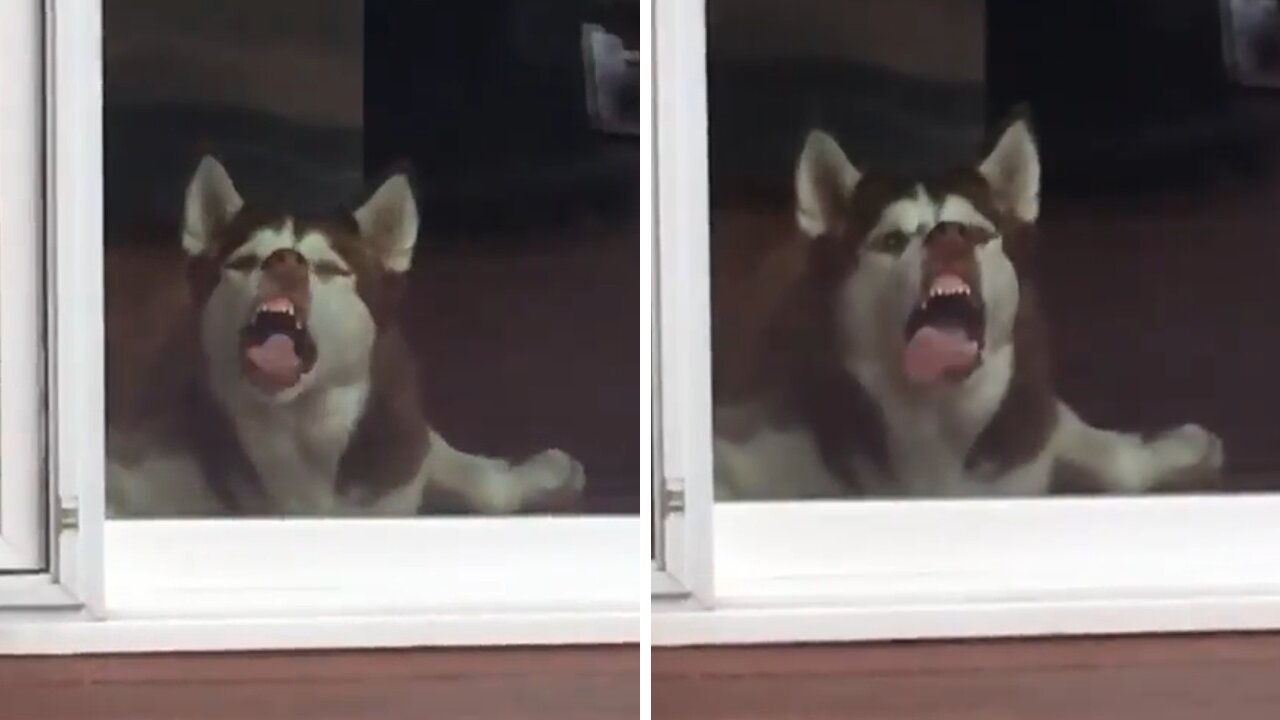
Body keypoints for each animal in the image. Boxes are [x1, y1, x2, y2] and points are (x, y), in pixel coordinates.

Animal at [107, 156, 586, 515]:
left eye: (329, 269)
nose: (284, 262)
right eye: (243, 262)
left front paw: (538, 475)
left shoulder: (401, 446)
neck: (303, 431)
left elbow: (468, 475)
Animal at [716, 117, 1223, 499]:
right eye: (892, 241)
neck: (938, 423)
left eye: (977, 232)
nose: (948, 236)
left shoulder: (1028, 423)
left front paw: (1171, 451)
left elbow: (1094, 447)